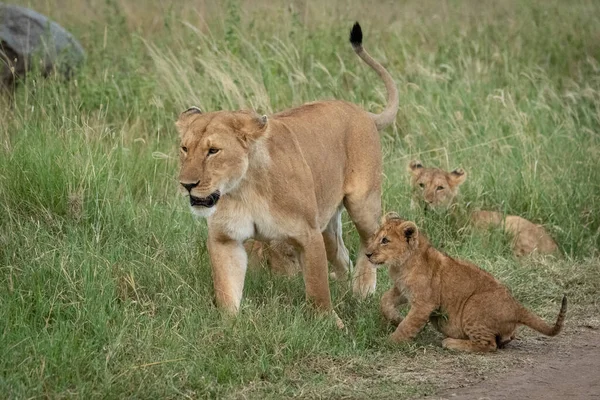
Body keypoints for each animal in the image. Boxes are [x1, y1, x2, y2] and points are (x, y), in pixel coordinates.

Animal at [175, 22, 398, 322]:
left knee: (369, 241)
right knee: (341, 254)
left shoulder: (308, 235)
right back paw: (346, 286)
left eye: (213, 151)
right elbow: (226, 290)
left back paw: (363, 288)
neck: (244, 188)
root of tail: (363, 112)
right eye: (185, 148)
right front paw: (229, 325)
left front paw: (329, 323)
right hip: (327, 221)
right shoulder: (225, 239)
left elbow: (317, 289)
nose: (187, 184)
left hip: (362, 203)